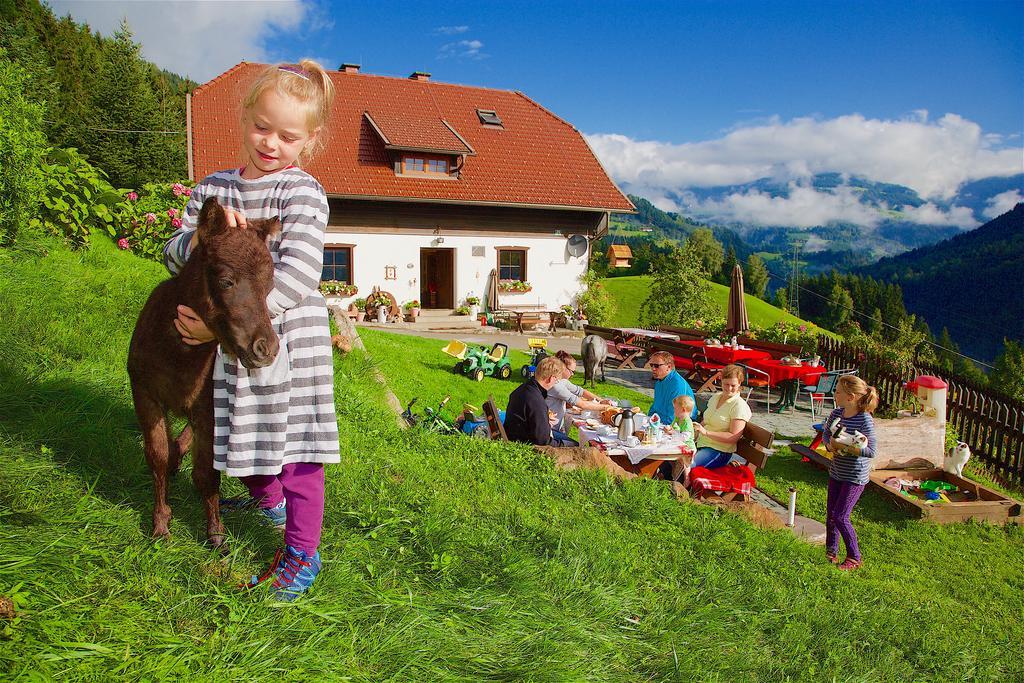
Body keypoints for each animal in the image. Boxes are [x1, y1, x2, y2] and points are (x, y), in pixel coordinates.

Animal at [127, 196, 280, 544]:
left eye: (269, 286)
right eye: (225, 281)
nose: (266, 349)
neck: (179, 356)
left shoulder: (209, 404)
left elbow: (206, 473)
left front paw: (216, 536)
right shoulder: (144, 393)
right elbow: (155, 456)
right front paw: (160, 524)